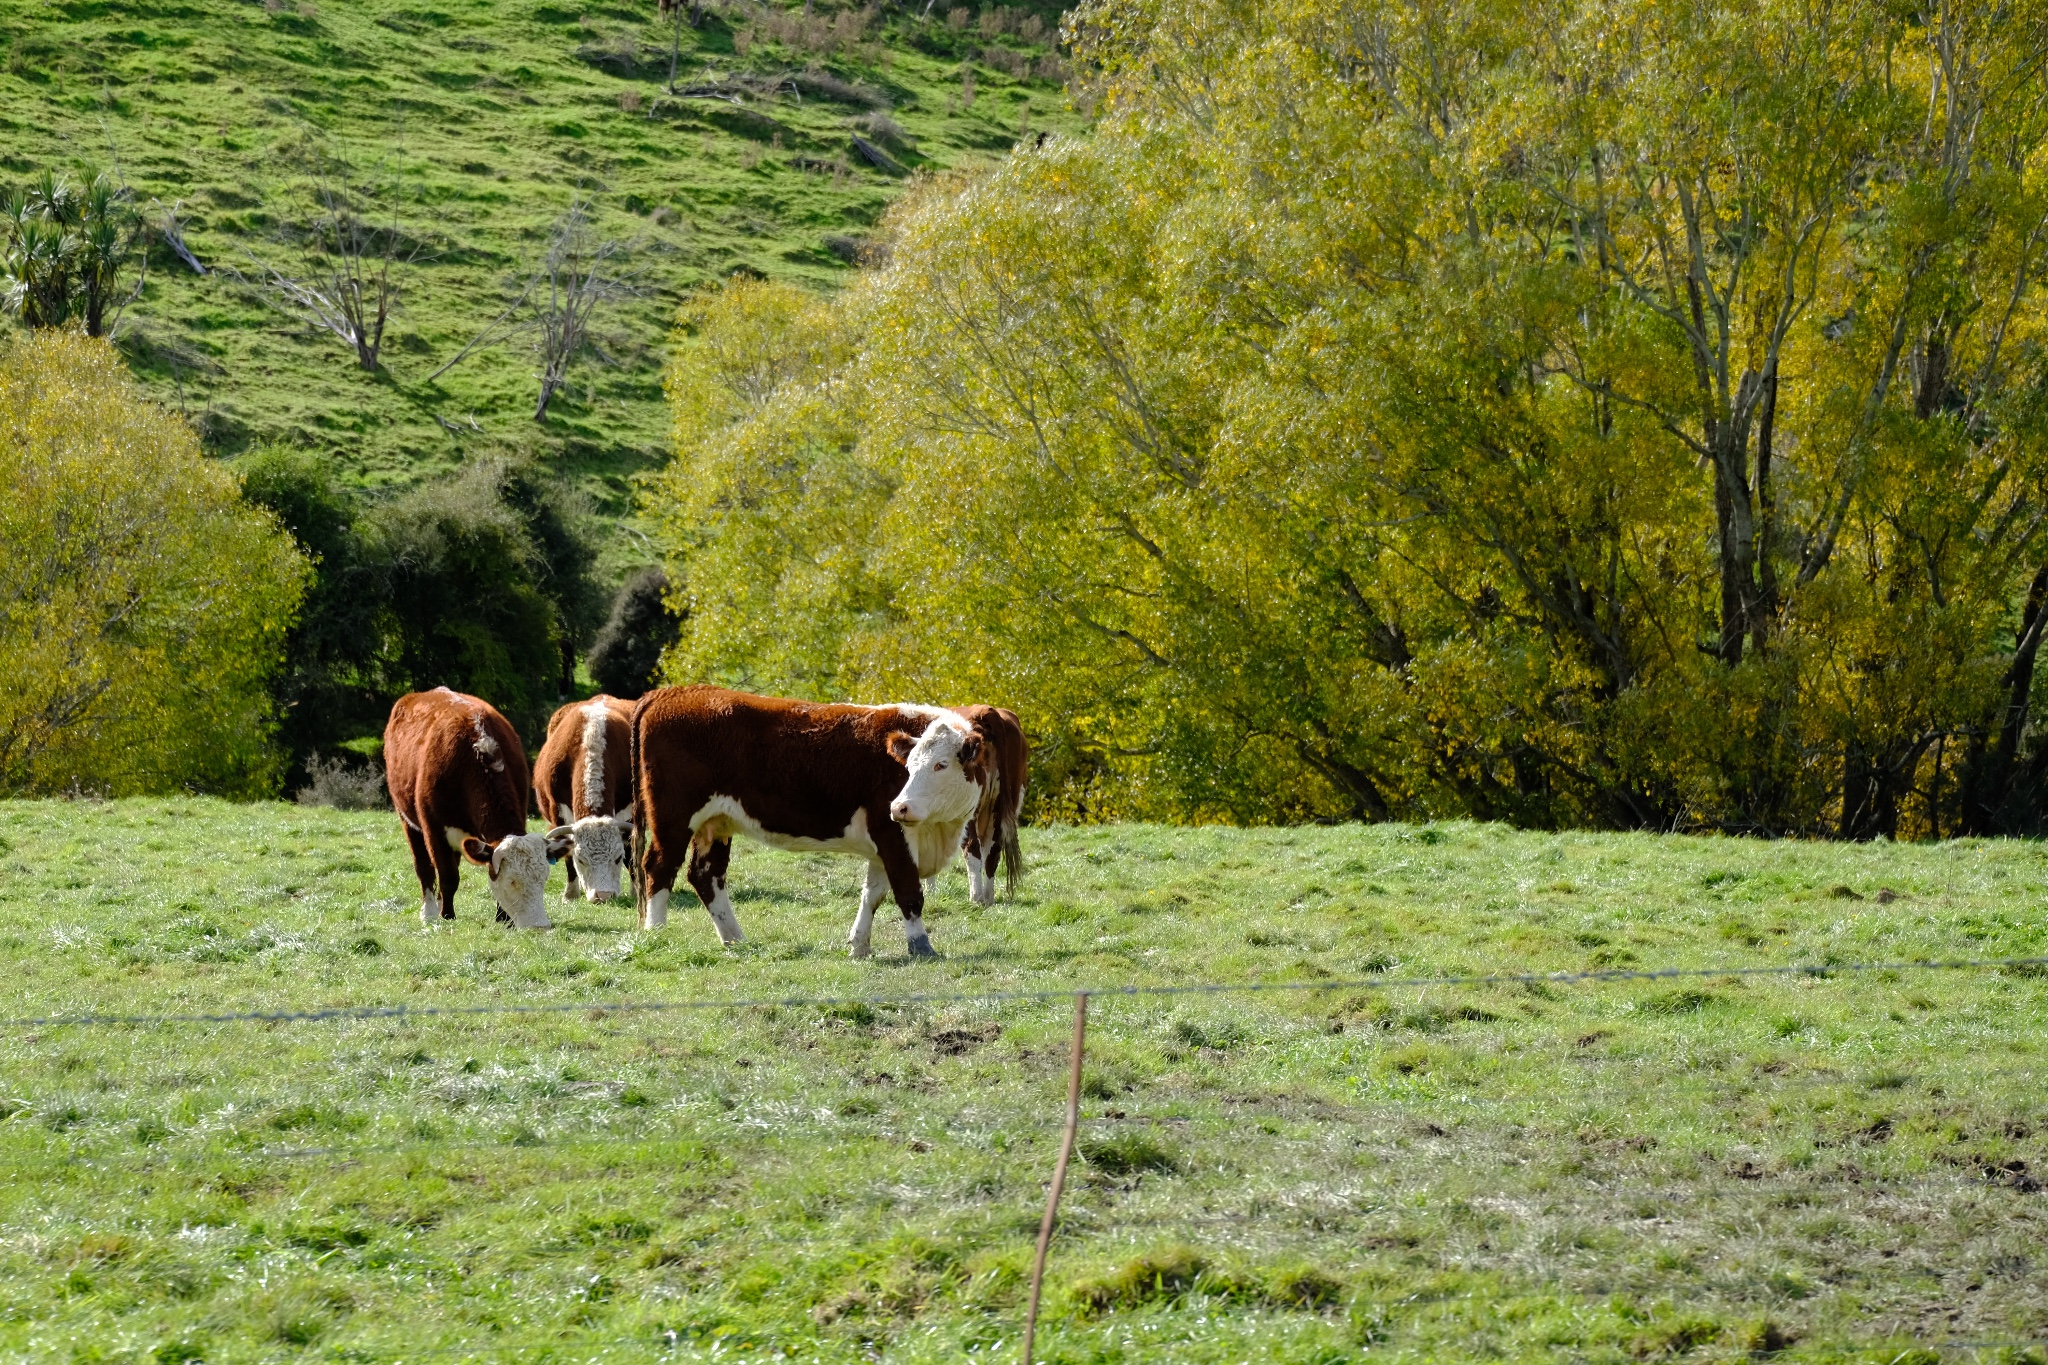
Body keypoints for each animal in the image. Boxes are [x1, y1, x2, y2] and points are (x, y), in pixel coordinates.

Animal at [385, 687, 573, 933]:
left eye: (543, 879)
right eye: (512, 881)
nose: (539, 926)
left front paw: (503, 918)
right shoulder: (433, 829)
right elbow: (447, 876)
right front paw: (447, 916)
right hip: (407, 818)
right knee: (424, 866)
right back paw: (430, 911)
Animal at [532, 695, 634, 908]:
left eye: (617, 858)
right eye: (581, 860)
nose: (603, 895)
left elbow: (631, 851)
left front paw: (636, 892)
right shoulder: (558, 811)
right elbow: (566, 852)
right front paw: (570, 894)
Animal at [622, 683, 1007, 961]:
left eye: (940, 764)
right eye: (909, 765)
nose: (901, 807)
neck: (939, 829)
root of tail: (670, 692)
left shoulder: (883, 843)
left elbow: (872, 894)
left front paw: (859, 945)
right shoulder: (893, 834)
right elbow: (908, 894)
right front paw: (921, 947)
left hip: (716, 823)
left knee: (705, 875)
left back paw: (736, 940)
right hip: (673, 817)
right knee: (658, 867)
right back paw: (657, 934)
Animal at [954, 703, 1032, 908]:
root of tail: (984, 710)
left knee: (972, 848)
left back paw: (975, 898)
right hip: (1002, 803)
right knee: (993, 849)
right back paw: (988, 898)